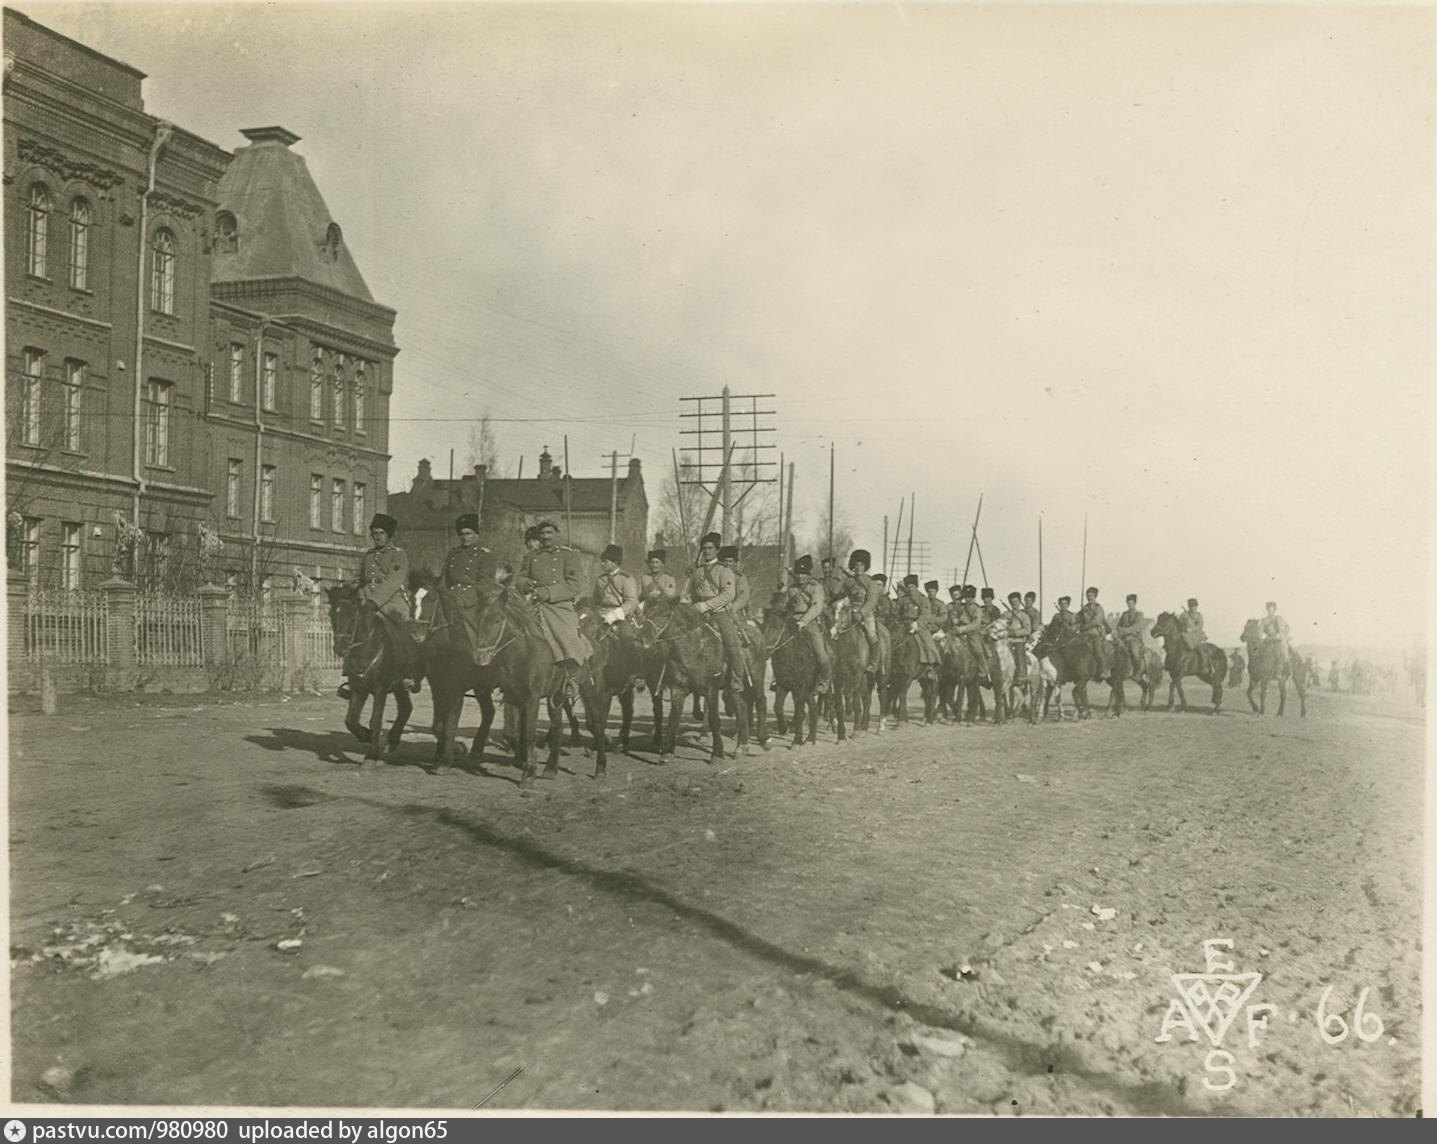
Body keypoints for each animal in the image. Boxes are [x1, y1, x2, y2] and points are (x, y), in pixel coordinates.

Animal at [323, 589, 419, 770]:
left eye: (352, 615)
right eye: (331, 614)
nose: (340, 649)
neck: (364, 650)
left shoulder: (380, 690)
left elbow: (375, 721)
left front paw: (371, 756)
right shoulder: (358, 689)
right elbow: (350, 720)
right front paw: (365, 736)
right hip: (399, 687)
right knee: (406, 708)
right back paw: (392, 740)